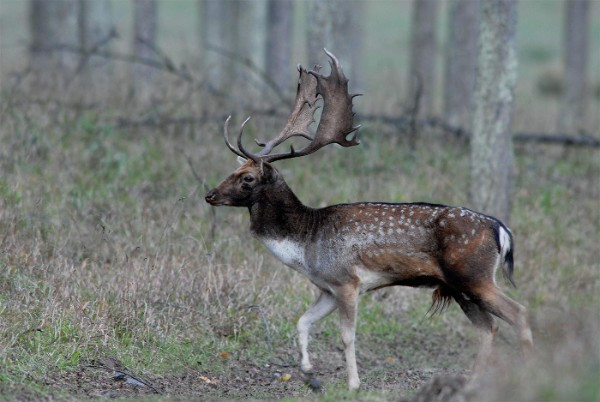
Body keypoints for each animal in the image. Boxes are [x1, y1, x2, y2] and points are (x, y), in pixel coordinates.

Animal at [204, 49, 532, 390]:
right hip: (459, 286)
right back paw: (472, 383)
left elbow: (347, 336)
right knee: (489, 328)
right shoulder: (327, 288)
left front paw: (353, 384)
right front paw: (309, 374)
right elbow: (302, 322)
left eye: (248, 178)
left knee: (520, 314)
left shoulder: (347, 281)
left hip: (474, 275)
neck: (304, 244)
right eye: (234, 169)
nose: (210, 195)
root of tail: (500, 228)